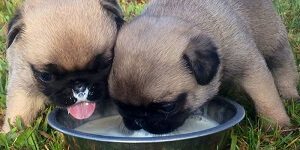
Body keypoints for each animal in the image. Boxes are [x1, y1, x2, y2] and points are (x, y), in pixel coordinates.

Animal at [3, 0, 123, 132]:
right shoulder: (23, 88)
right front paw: (9, 132)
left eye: (104, 65)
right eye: (46, 76)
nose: (79, 86)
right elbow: (19, 114)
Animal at [109, 0, 298, 134]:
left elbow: (266, 98)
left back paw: (289, 94)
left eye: (167, 107)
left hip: (274, 42)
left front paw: (277, 125)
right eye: (118, 104)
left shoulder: (250, 68)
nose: (138, 120)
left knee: (284, 66)